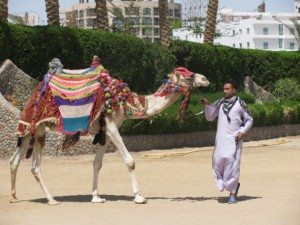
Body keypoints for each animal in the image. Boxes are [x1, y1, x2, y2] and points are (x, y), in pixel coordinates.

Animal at [8, 57, 207, 205]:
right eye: (187, 76)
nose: (205, 79)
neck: (125, 101)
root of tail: (33, 95)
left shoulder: (105, 131)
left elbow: (97, 163)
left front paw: (96, 196)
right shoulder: (111, 126)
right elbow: (130, 161)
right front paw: (138, 196)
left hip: (30, 131)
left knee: (14, 161)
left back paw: (13, 196)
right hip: (37, 126)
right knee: (34, 166)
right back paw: (51, 199)